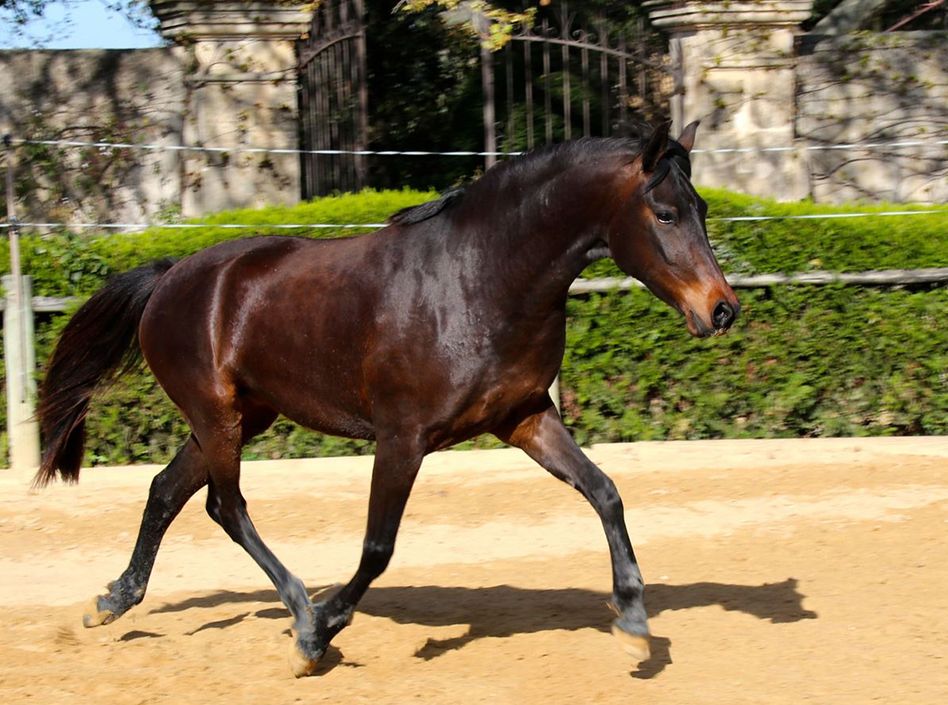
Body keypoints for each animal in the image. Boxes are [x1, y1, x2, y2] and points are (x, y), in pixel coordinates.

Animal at [37, 121, 740, 676]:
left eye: (703, 207)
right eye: (666, 213)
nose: (722, 309)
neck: (481, 277)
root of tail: (170, 275)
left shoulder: (524, 417)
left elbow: (605, 491)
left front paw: (633, 622)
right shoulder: (403, 437)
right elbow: (379, 547)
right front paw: (320, 630)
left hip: (242, 416)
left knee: (167, 491)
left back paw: (112, 602)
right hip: (218, 416)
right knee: (223, 505)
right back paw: (302, 615)